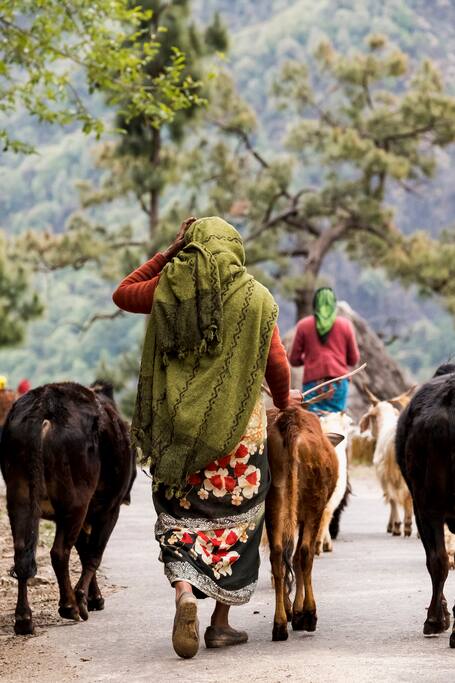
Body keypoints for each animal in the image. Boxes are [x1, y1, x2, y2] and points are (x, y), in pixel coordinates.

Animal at [0, 381, 136, 635]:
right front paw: (87, 598)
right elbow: (93, 554)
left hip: (19, 498)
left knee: (22, 554)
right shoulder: (109, 509)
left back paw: (24, 618)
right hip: (76, 503)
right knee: (60, 552)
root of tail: (44, 405)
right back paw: (70, 605)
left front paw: (93, 598)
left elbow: (84, 552)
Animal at [266, 406, 338, 641]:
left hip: (274, 502)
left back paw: (279, 623)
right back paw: (309, 615)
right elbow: (298, 558)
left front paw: (291, 611)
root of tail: (291, 424)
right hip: (314, 506)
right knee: (305, 553)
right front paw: (299, 613)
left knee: (277, 555)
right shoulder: (306, 517)